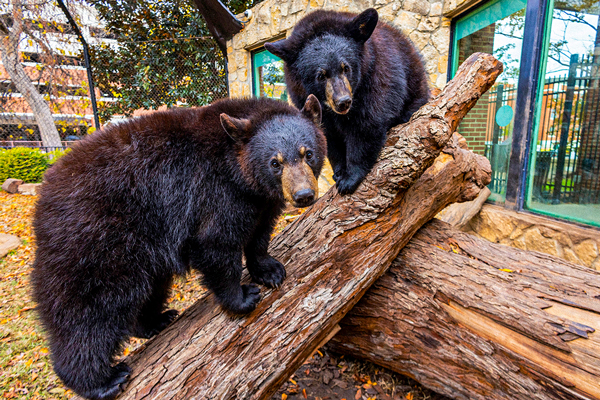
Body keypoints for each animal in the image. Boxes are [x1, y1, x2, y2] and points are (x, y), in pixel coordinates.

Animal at [30, 95, 326, 398]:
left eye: (308, 153)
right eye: (275, 162)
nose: (304, 195)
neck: (236, 171)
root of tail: (43, 203)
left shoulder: (260, 201)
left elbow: (260, 232)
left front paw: (269, 270)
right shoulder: (213, 193)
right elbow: (215, 244)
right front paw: (242, 297)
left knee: (150, 289)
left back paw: (155, 321)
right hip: (96, 243)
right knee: (89, 312)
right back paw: (101, 381)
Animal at [264, 9, 428, 195]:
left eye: (346, 68)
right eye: (320, 75)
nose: (343, 102)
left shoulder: (376, 77)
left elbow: (367, 125)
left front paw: (350, 178)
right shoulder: (303, 98)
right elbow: (328, 137)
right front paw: (339, 172)